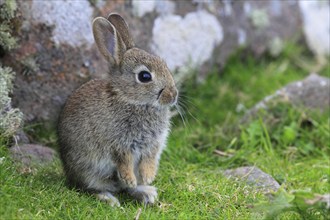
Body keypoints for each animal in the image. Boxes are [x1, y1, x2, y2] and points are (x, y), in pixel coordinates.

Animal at [58, 13, 179, 206]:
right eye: (145, 76)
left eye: (164, 65)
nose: (173, 95)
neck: (129, 99)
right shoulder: (119, 144)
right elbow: (123, 161)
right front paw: (130, 178)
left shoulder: (152, 145)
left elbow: (149, 160)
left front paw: (148, 178)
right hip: (88, 171)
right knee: (90, 187)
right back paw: (109, 198)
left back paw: (146, 193)